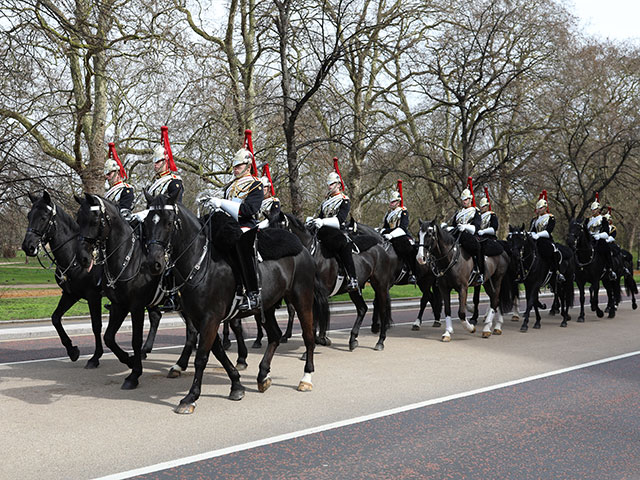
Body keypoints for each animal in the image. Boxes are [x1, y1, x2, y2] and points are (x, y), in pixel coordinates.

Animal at [143, 191, 322, 412]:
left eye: (168, 223)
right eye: (147, 222)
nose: (154, 263)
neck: (201, 264)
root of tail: (302, 248)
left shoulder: (210, 318)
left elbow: (202, 357)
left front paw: (190, 397)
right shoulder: (200, 318)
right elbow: (218, 352)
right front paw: (236, 385)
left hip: (301, 298)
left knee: (308, 336)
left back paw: (306, 378)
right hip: (266, 307)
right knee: (275, 335)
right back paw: (263, 376)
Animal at [268, 212, 396, 350]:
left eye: (279, 229)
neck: (314, 255)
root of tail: (381, 247)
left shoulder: (319, 295)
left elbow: (316, 321)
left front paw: (320, 340)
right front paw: (321, 340)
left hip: (380, 286)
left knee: (383, 310)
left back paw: (380, 341)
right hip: (355, 290)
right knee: (362, 309)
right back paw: (353, 339)